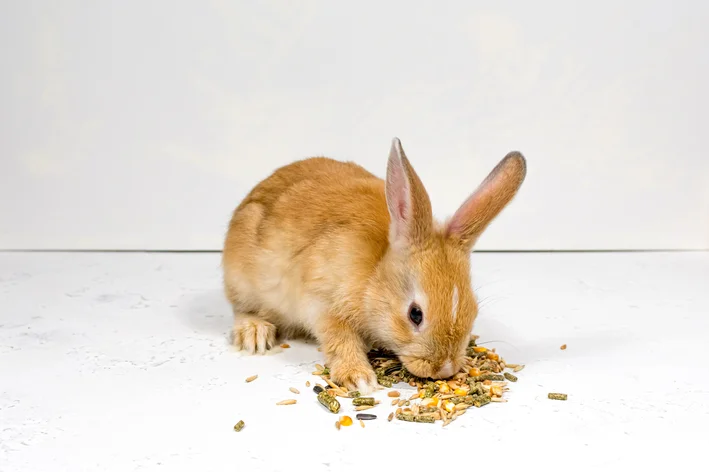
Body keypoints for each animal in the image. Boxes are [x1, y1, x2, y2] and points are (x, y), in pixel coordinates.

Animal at [221, 137, 524, 394]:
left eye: (473, 310)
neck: (374, 275)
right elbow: (340, 340)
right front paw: (360, 380)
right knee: (242, 309)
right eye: (415, 315)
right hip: (242, 279)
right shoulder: (322, 303)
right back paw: (255, 333)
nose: (444, 370)